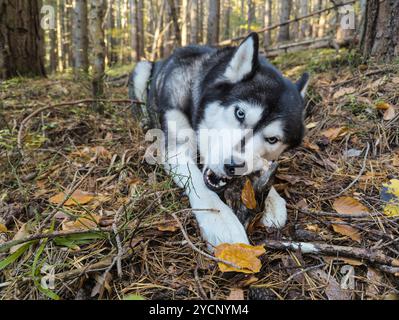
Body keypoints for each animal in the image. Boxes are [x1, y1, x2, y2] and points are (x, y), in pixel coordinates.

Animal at [131, 33, 310, 248]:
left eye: (272, 139)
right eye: (240, 113)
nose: (232, 166)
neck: (195, 83)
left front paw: (273, 199)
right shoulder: (177, 146)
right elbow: (198, 183)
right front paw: (221, 221)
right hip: (141, 71)